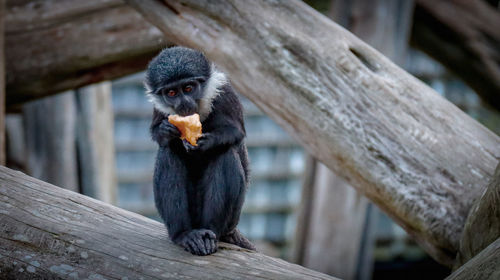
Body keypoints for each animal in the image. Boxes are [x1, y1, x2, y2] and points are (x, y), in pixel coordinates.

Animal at [144, 46, 254, 256]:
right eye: (171, 92)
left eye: (188, 88)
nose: (183, 103)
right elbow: (157, 133)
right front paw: (165, 130)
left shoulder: (224, 91)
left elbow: (236, 132)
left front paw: (207, 142)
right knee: (168, 152)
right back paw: (184, 234)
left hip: (231, 219)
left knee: (225, 153)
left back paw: (209, 233)